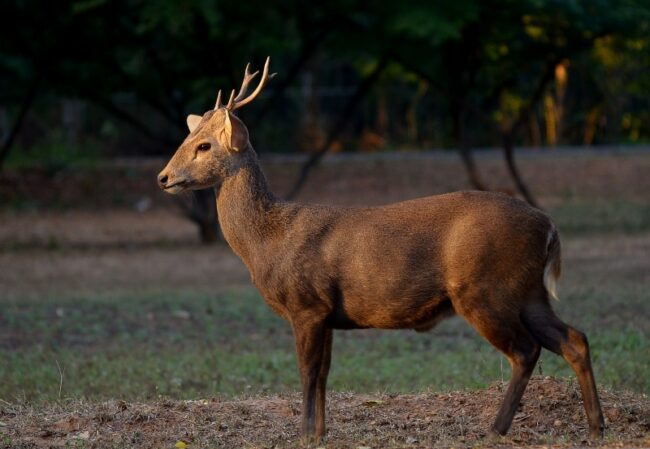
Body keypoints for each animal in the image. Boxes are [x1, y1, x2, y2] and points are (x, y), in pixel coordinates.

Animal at [157, 57, 604, 442]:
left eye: (204, 146)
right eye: (187, 138)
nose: (163, 177)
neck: (268, 242)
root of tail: (549, 226)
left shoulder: (307, 304)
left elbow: (307, 372)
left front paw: (303, 435)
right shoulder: (327, 313)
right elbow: (324, 374)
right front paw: (321, 433)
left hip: (484, 287)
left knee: (527, 350)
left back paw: (496, 429)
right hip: (527, 290)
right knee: (574, 338)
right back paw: (596, 427)